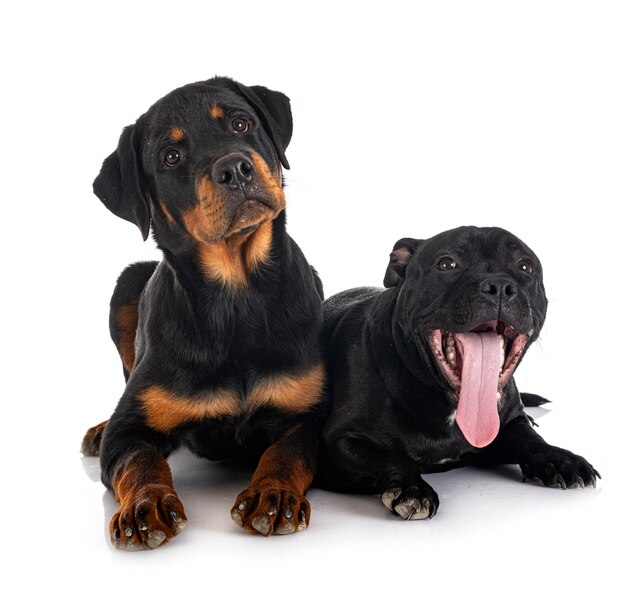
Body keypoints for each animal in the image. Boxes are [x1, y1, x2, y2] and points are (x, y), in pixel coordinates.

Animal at [80, 76, 324, 548]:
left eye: (241, 122)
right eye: (170, 156)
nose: (235, 168)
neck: (238, 296)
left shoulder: (308, 411)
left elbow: (287, 451)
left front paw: (273, 494)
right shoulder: (130, 430)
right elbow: (139, 460)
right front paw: (145, 505)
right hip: (127, 285)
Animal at [314, 225, 596, 520]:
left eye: (525, 266)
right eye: (446, 264)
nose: (499, 286)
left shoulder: (509, 422)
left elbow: (529, 438)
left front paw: (559, 458)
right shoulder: (338, 441)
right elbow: (387, 456)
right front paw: (413, 487)